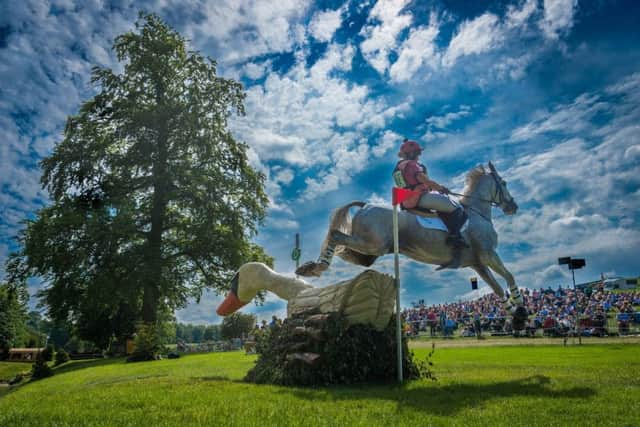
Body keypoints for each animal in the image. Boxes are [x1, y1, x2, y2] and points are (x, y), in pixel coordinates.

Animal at [296, 164, 524, 324]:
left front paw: (517, 318)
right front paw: (521, 309)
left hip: (371, 249)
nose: (513, 206)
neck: (476, 212)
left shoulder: (478, 263)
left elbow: (497, 289)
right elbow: (510, 277)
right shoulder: (489, 254)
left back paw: (311, 267)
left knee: (347, 251)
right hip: (373, 244)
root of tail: (366, 205)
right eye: (504, 183)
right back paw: (317, 266)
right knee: (336, 236)